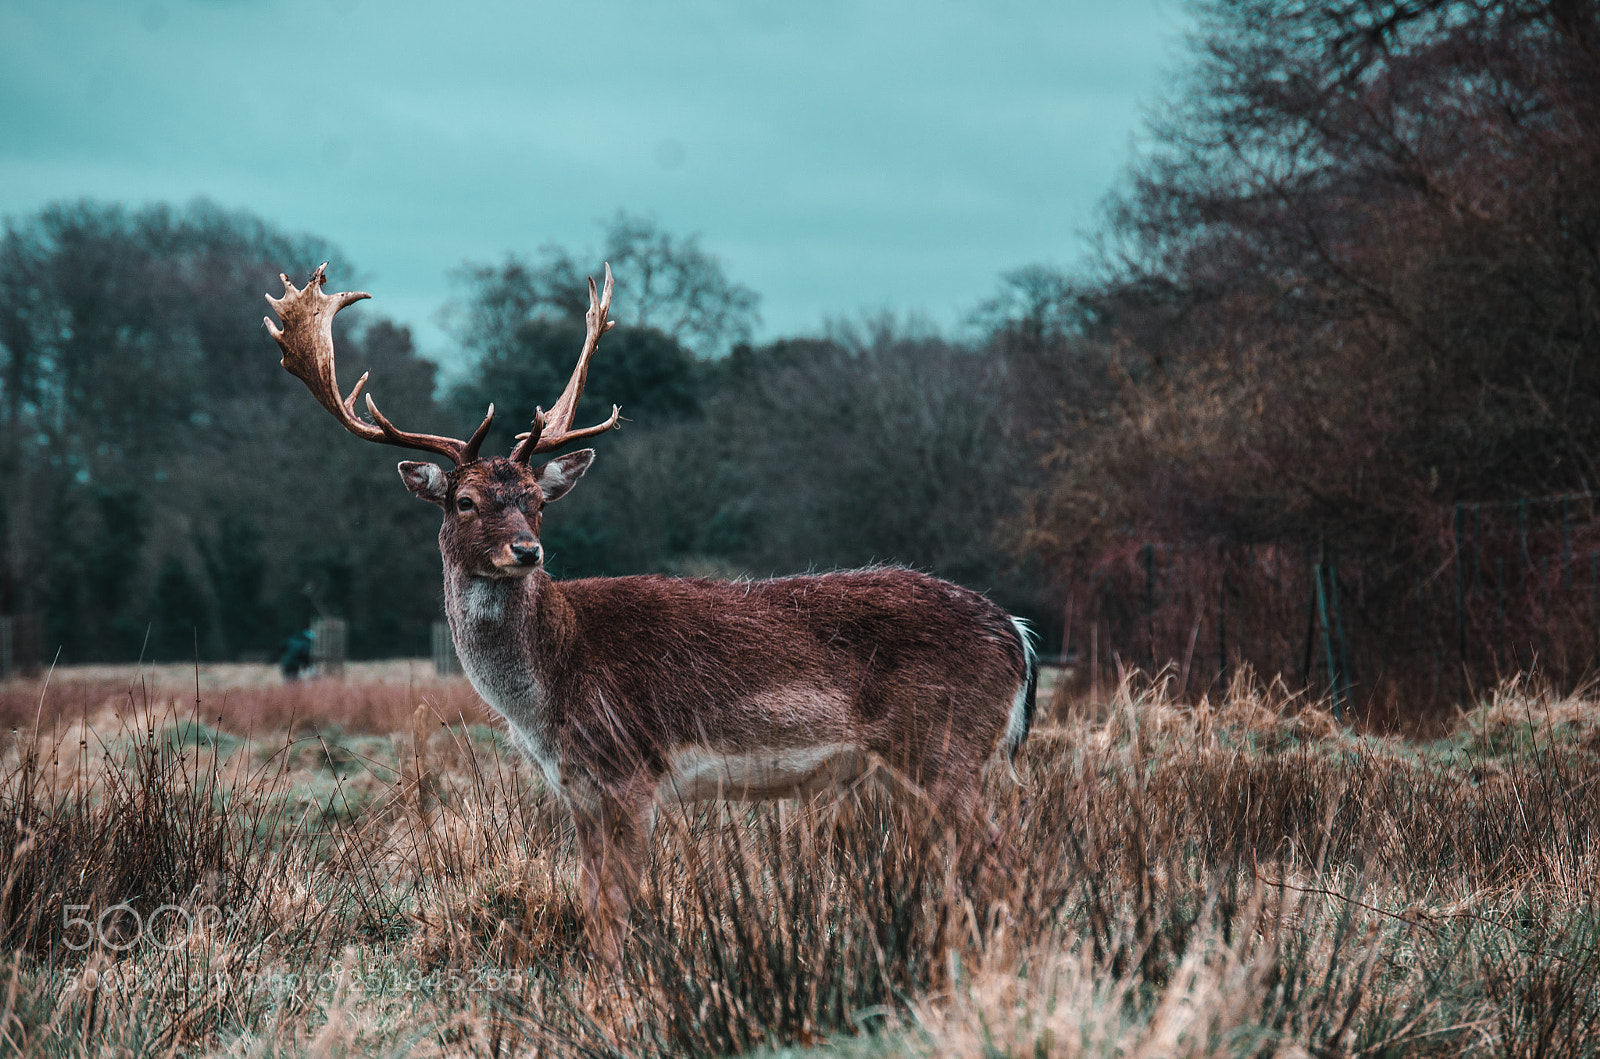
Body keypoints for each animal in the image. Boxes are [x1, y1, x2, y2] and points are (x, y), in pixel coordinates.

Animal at [265, 263, 1038, 962]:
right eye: (465, 500)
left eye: (536, 500)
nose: (527, 550)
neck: (548, 689)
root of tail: (1019, 636)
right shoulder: (578, 788)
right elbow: (591, 900)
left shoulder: (630, 767)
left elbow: (615, 911)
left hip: (945, 745)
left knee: (1003, 860)